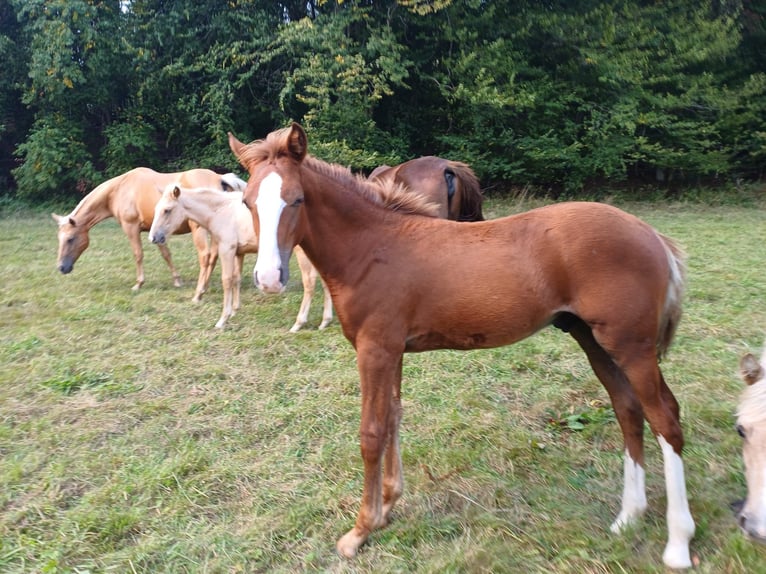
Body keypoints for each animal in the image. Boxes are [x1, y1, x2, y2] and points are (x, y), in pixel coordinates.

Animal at [52, 166, 244, 300]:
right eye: (59, 239)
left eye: (70, 239)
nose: (61, 267)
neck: (120, 189)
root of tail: (219, 178)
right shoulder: (156, 232)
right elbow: (166, 254)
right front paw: (177, 280)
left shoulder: (131, 228)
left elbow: (138, 254)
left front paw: (138, 284)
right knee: (213, 256)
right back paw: (205, 286)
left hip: (200, 230)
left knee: (205, 256)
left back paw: (200, 291)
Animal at [148, 184, 332, 332]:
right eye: (156, 209)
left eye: (167, 210)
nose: (153, 238)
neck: (221, 211)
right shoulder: (239, 252)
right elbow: (236, 278)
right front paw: (235, 311)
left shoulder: (226, 249)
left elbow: (227, 280)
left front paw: (222, 320)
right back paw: (325, 322)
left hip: (302, 252)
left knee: (309, 282)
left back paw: (298, 324)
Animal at [226, 124, 696, 568]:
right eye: (248, 202)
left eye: (297, 199)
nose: (268, 278)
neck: (371, 248)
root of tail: (651, 234)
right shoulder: (392, 350)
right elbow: (394, 416)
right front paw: (388, 508)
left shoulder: (374, 349)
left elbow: (372, 432)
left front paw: (359, 531)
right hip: (594, 339)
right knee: (628, 410)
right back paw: (628, 516)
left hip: (632, 347)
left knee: (665, 418)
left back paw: (677, 543)